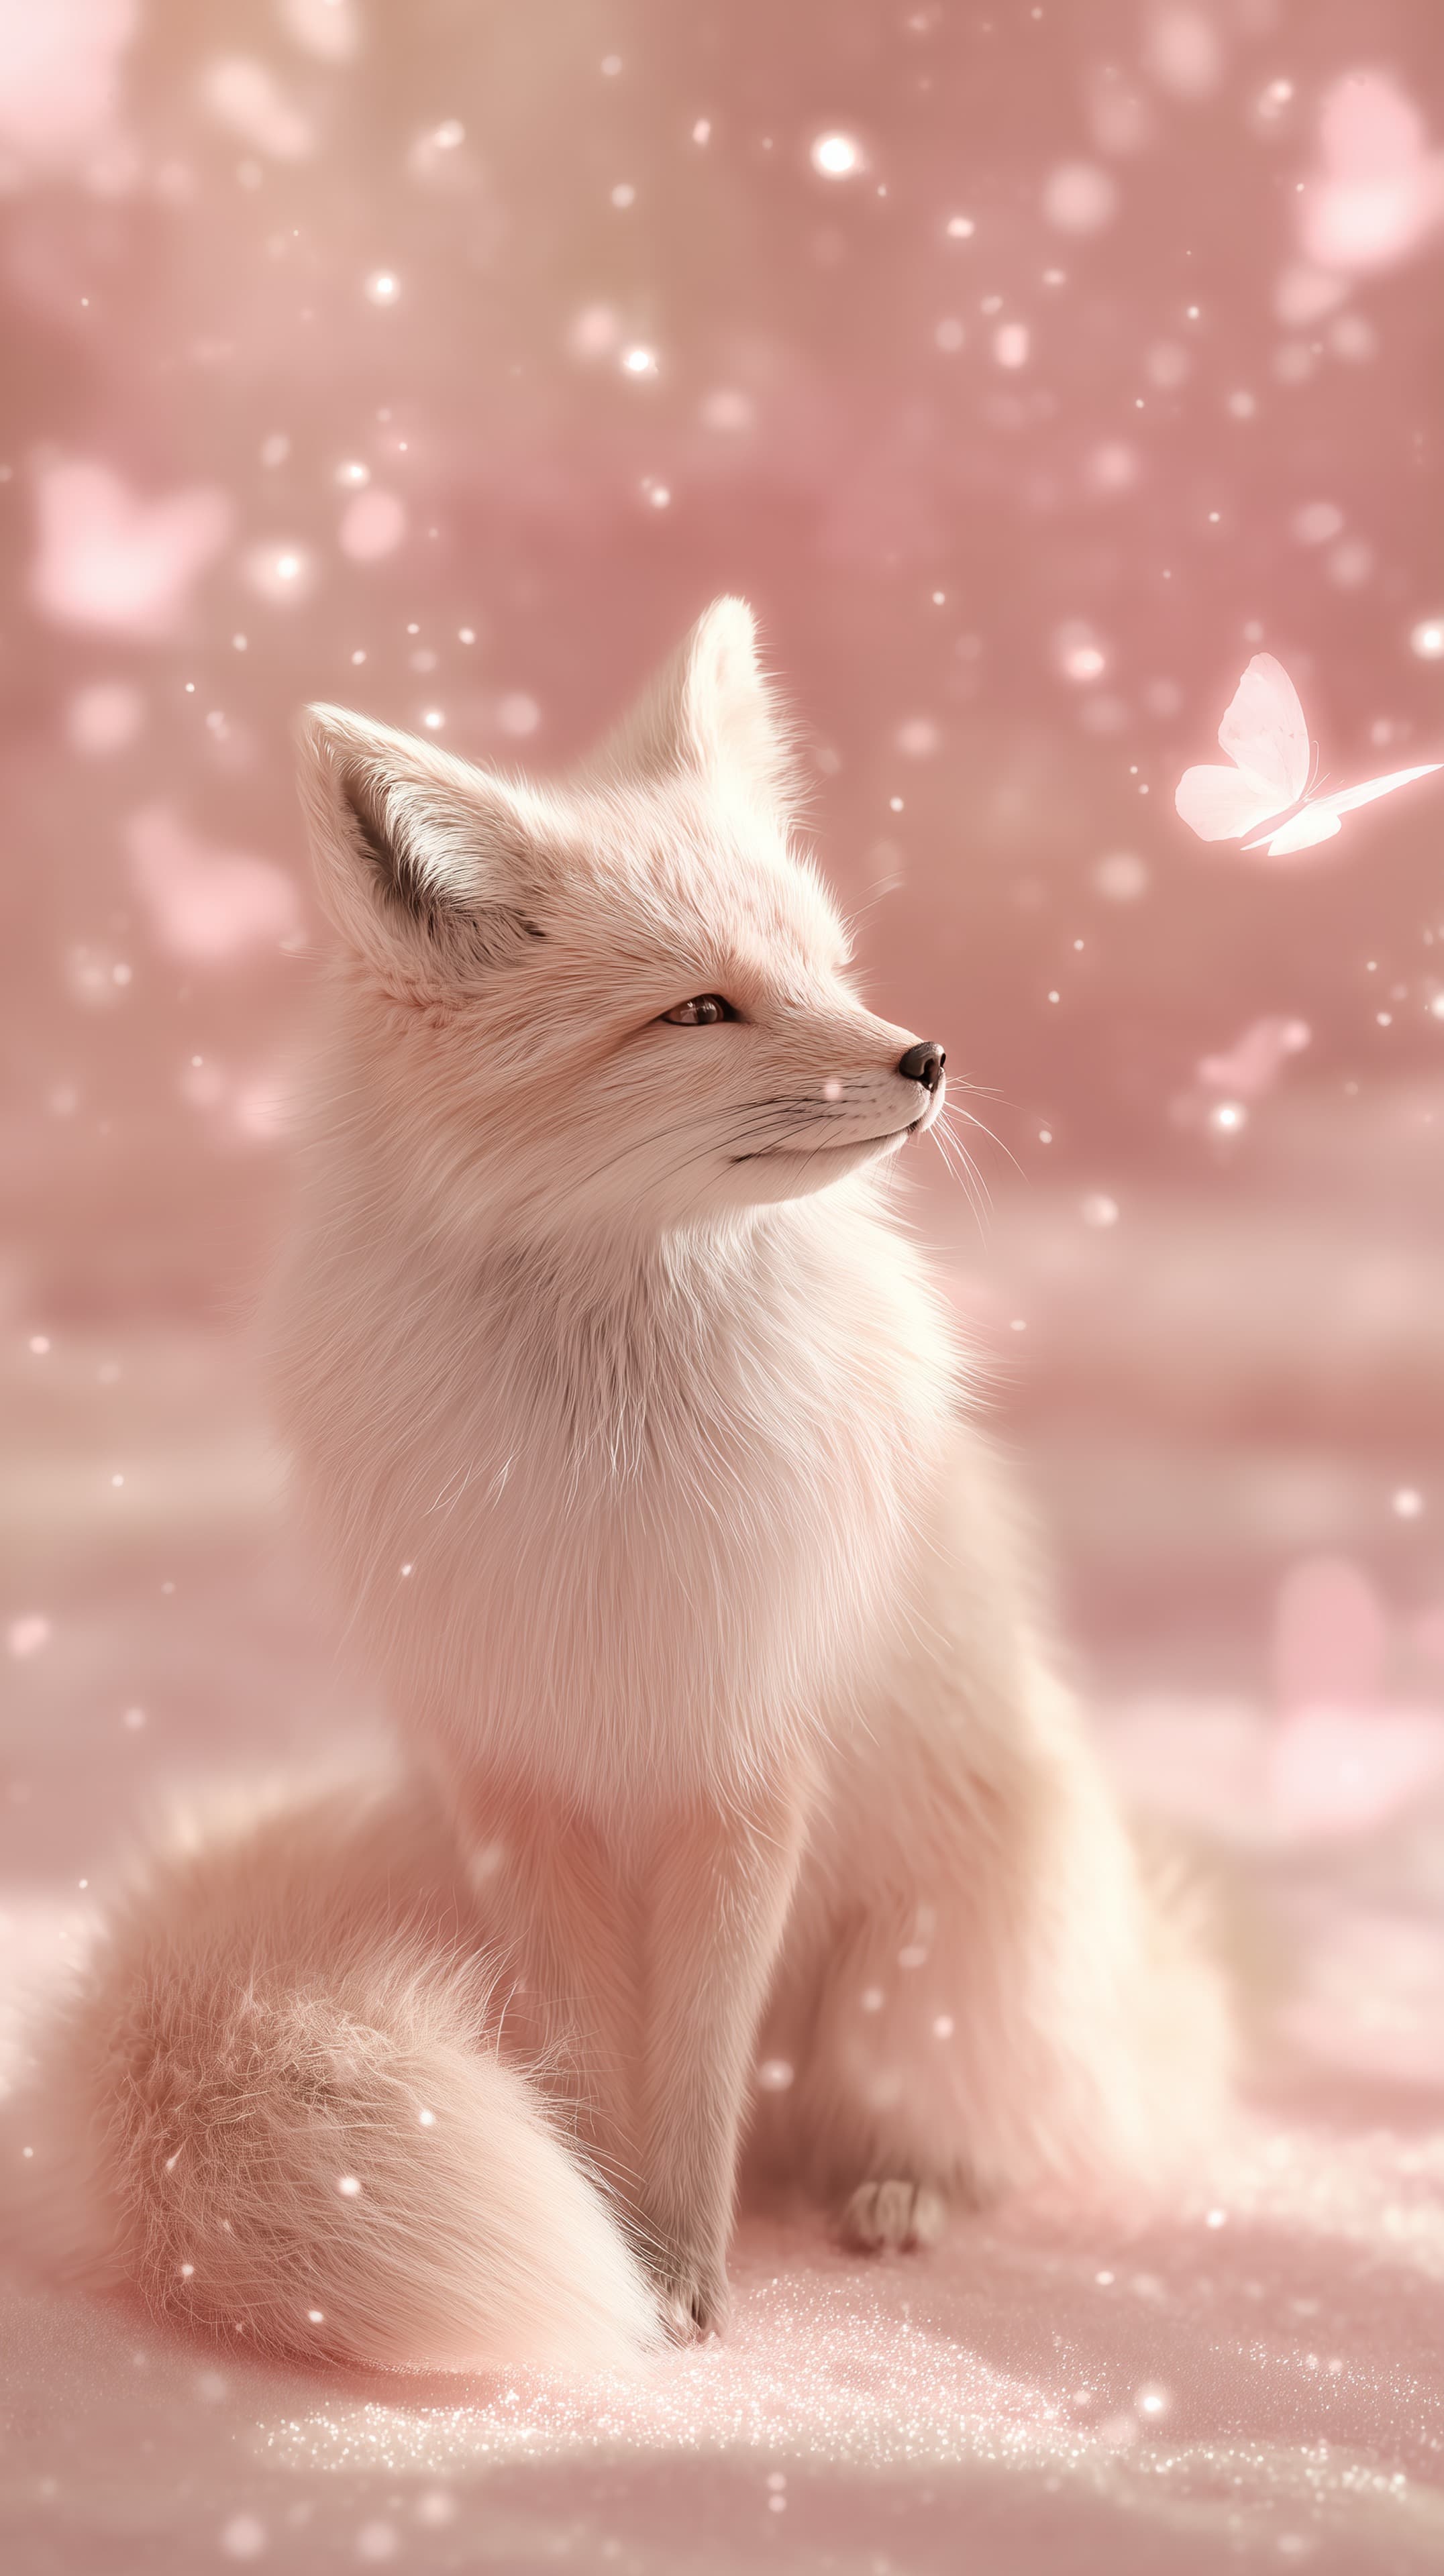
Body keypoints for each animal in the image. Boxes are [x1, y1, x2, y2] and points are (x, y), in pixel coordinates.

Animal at [31, 599, 1232, 2374]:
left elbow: (695, 2073)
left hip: (920, 1975)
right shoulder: (523, 1778)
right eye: (700, 1011)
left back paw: (899, 2192)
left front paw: (687, 2273)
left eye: (822, 963)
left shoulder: (738, 1761)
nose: (930, 1055)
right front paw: (633, 2258)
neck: (609, 1456)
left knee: (975, 2124)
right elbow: (601, 2076)